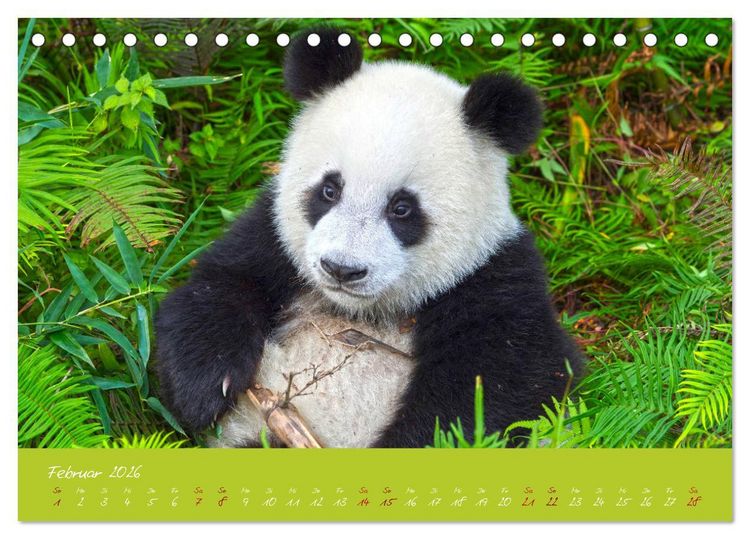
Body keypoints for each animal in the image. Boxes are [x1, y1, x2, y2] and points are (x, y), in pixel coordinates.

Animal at [155, 27, 583, 448]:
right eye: (329, 190)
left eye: (402, 208)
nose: (341, 269)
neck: (360, 312)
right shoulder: (272, 236)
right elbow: (219, 287)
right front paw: (206, 388)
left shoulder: (492, 275)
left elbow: (502, 385)